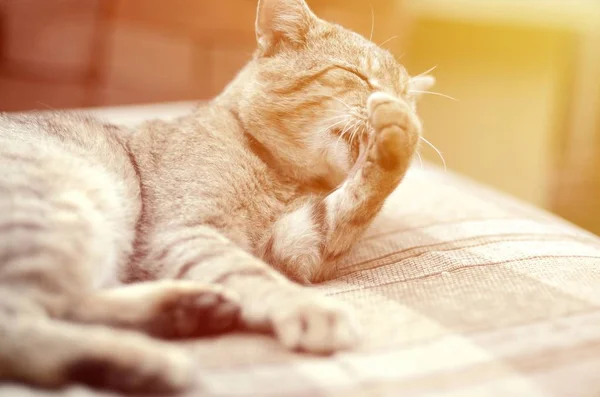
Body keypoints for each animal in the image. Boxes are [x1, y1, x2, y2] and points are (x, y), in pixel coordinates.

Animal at [0, 0, 432, 392]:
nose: (399, 103)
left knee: (66, 305)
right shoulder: (185, 231)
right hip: (63, 213)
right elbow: (250, 273)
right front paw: (308, 308)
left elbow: (355, 201)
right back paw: (145, 358)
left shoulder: (295, 243)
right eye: (356, 75)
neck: (281, 177)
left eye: (406, 93)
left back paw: (186, 311)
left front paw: (401, 135)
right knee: (22, 325)